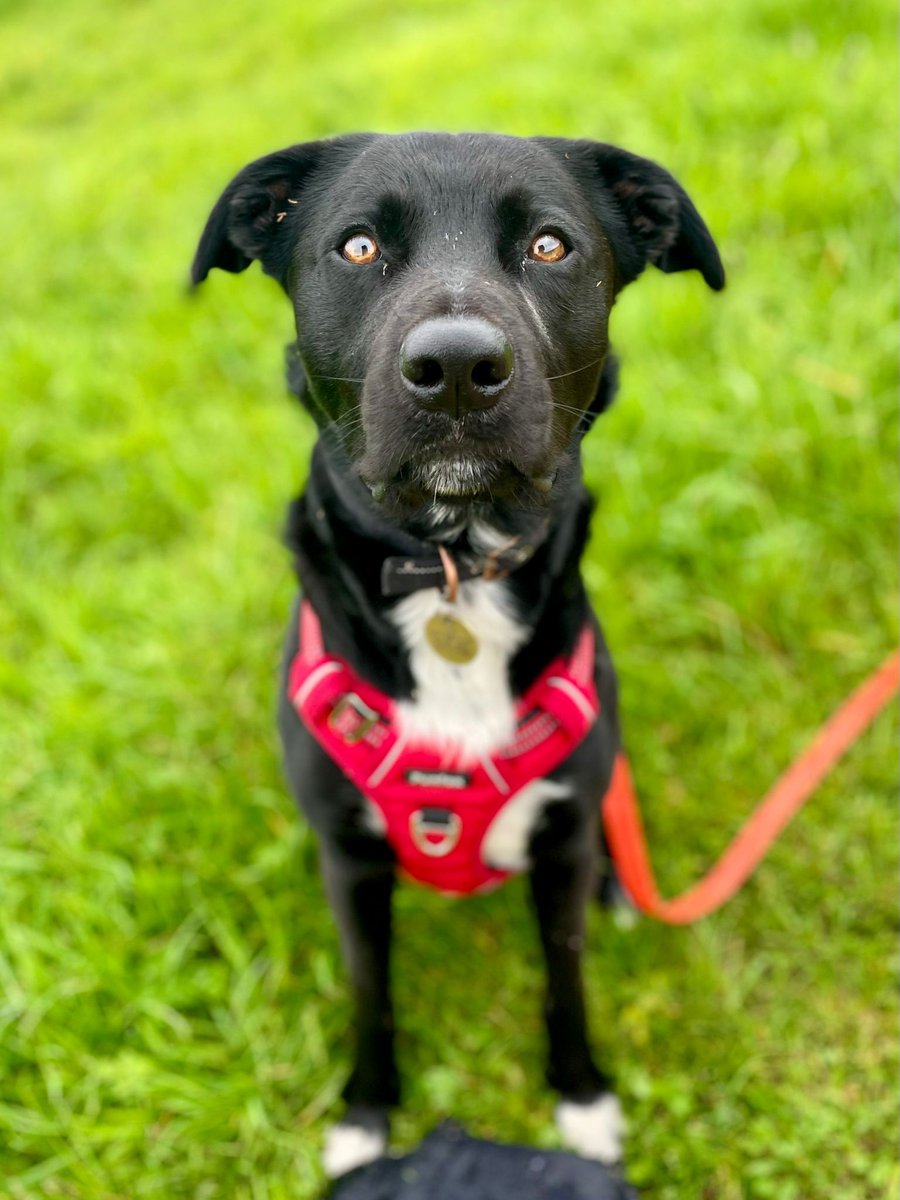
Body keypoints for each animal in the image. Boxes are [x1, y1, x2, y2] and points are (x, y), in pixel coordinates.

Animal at [192, 131, 724, 1171]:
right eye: (357, 247)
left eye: (551, 245)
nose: (455, 366)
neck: (454, 571)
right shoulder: (351, 864)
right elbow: (371, 995)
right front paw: (366, 1116)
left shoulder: (560, 846)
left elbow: (565, 977)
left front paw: (581, 1097)